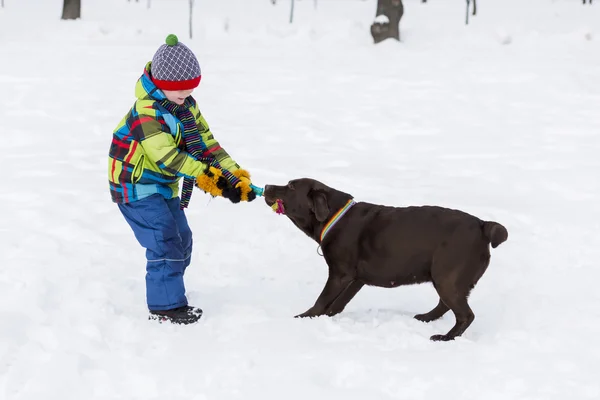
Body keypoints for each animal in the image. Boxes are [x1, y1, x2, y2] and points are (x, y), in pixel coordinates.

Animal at [264, 178, 506, 340]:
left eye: (291, 186)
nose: (266, 186)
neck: (335, 217)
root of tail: (483, 225)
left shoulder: (339, 274)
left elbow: (322, 300)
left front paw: (304, 317)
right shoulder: (355, 279)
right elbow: (337, 303)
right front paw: (326, 317)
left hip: (447, 277)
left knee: (465, 315)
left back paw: (445, 337)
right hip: (444, 278)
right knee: (445, 306)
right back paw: (426, 318)